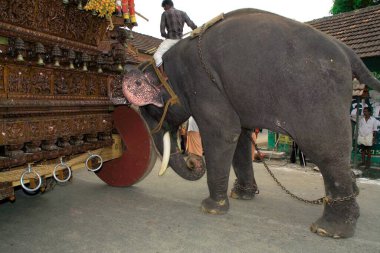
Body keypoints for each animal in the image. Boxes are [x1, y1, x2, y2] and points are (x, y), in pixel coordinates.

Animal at [121, 7, 380, 237]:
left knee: (325, 148)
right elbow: (241, 137)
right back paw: (351, 198)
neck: (166, 63)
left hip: (317, 93)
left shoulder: (203, 83)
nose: (193, 161)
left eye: (148, 110)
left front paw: (210, 208)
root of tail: (347, 51)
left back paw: (329, 230)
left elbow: (224, 133)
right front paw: (241, 195)